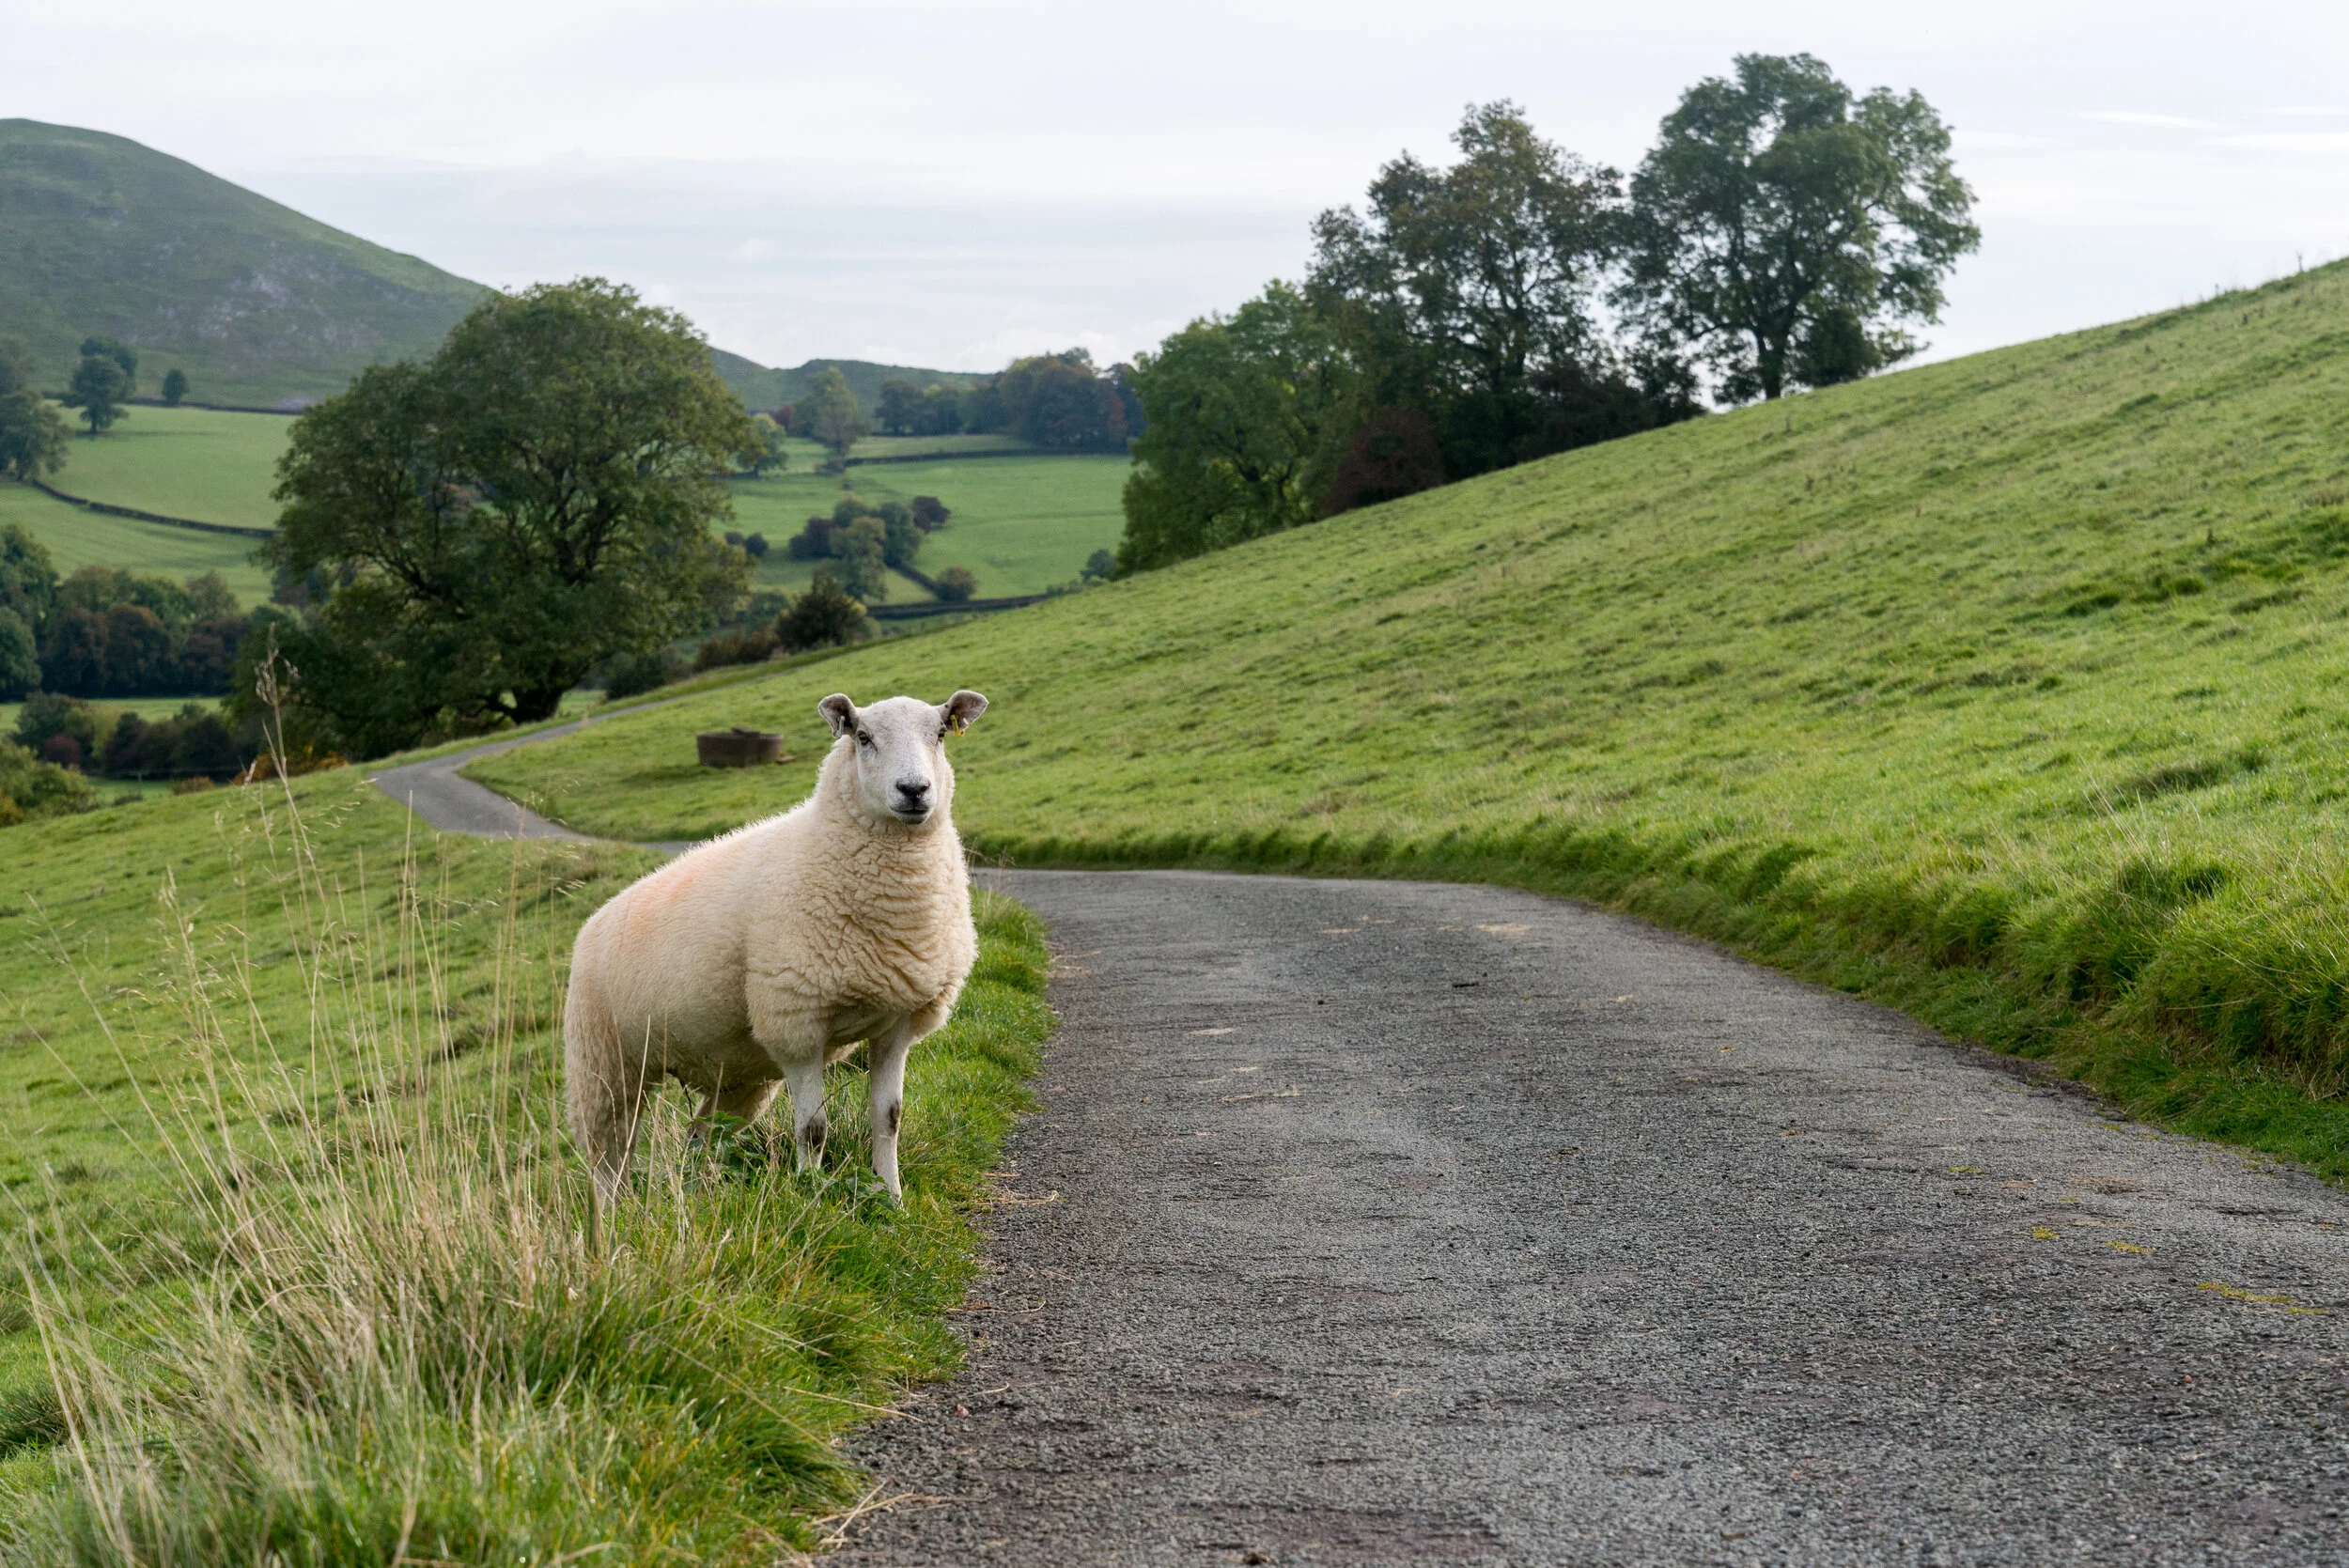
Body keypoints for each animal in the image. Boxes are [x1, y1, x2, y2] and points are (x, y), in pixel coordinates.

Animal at [564, 689, 988, 1203]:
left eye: (941, 733)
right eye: (863, 737)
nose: (914, 790)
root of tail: (594, 919)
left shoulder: (898, 1021)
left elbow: (888, 1119)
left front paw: (891, 1198)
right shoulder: (796, 1023)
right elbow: (813, 1129)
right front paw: (813, 1194)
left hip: (736, 1072)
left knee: (701, 1135)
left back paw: (701, 1196)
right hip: (603, 1062)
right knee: (608, 1152)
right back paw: (615, 1213)